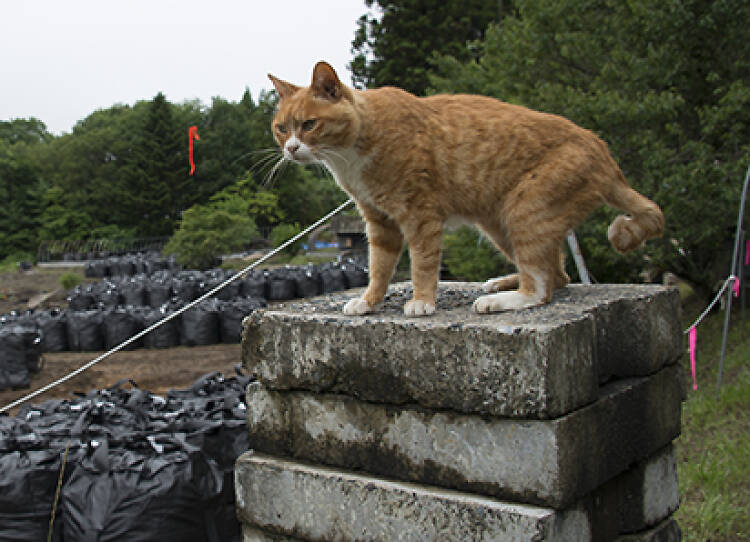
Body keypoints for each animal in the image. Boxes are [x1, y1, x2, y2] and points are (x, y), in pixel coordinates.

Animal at [268, 61, 664, 316]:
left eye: (309, 124)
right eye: (281, 128)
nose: (291, 149)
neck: (350, 155)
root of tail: (604, 153)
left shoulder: (420, 214)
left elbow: (422, 263)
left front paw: (422, 301)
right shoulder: (379, 221)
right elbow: (379, 267)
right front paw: (369, 302)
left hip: (524, 210)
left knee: (541, 288)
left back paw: (503, 300)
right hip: (501, 224)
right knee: (558, 276)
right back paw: (503, 283)